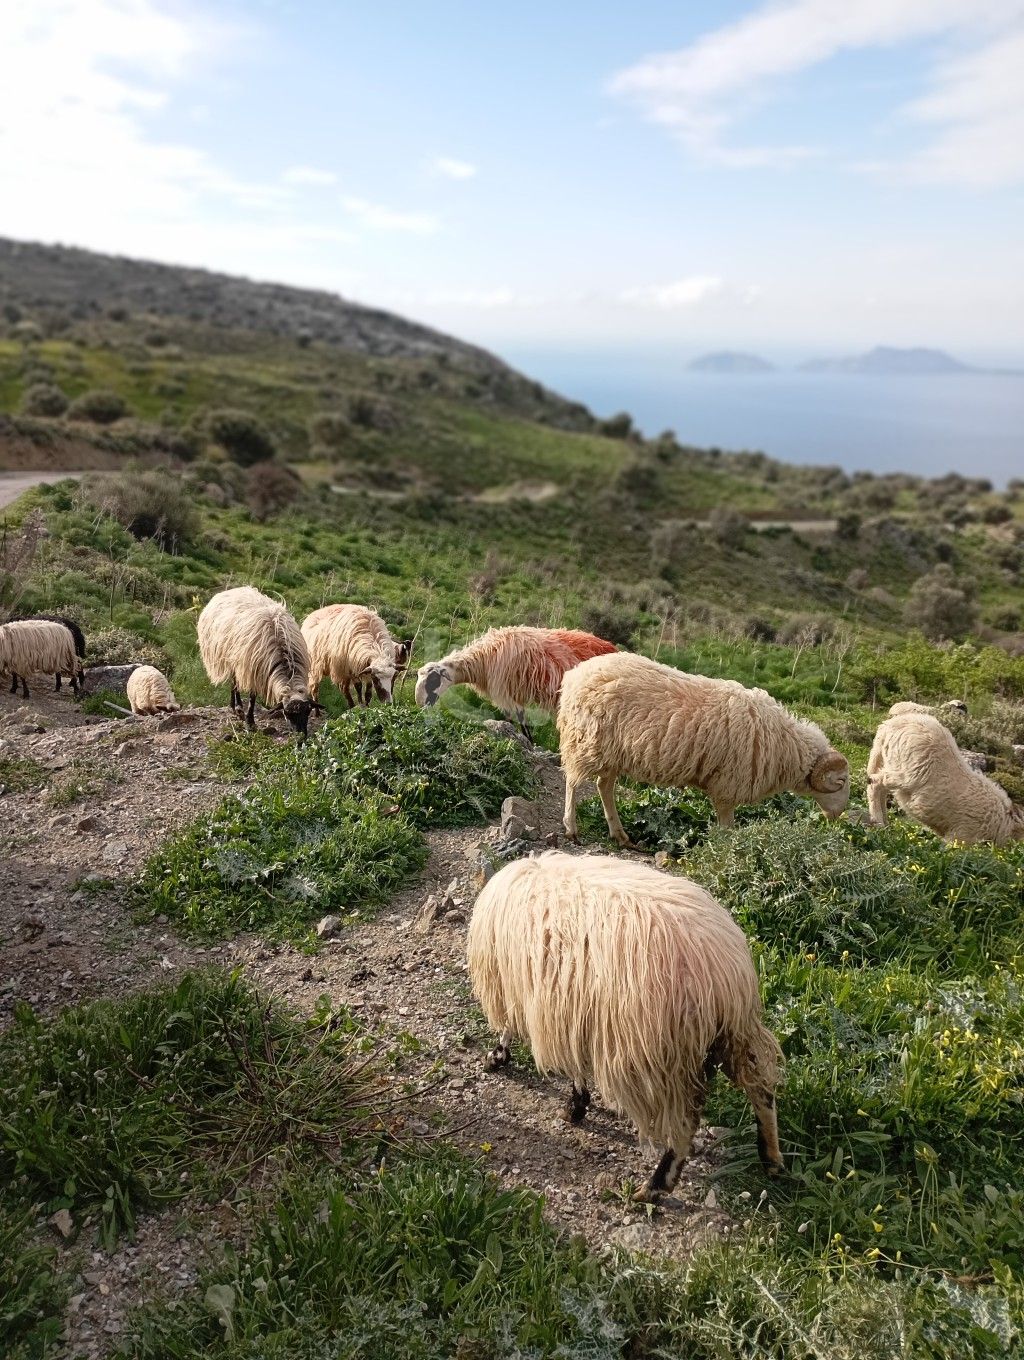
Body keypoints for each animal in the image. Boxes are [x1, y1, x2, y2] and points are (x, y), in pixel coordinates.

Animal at [410, 628, 611, 745]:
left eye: (433, 680)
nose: (420, 704)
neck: (482, 660)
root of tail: (610, 647)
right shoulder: (511, 694)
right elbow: (513, 718)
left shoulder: (505, 690)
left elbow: (519, 719)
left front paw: (528, 741)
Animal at [470, 848, 783, 1202]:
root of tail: (722, 972)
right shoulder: (572, 1008)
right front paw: (577, 1104)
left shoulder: (534, 994)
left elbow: (517, 1032)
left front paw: (500, 1057)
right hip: (736, 1031)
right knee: (761, 1085)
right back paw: (771, 1159)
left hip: (664, 1056)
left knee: (685, 1121)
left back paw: (656, 1185)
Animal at [554, 652, 848, 843]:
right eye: (842, 781)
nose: (838, 816)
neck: (786, 745)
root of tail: (574, 675)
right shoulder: (727, 786)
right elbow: (727, 827)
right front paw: (725, 852)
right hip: (586, 740)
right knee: (572, 781)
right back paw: (571, 827)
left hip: (611, 752)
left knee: (604, 786)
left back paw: (620, 834)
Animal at [864, 718, 1022, 843]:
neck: (1004, 823)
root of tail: (889, 725)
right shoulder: (963, 835)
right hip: (905, 772)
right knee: (874, 784)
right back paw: (878, 822)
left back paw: (885, 823)